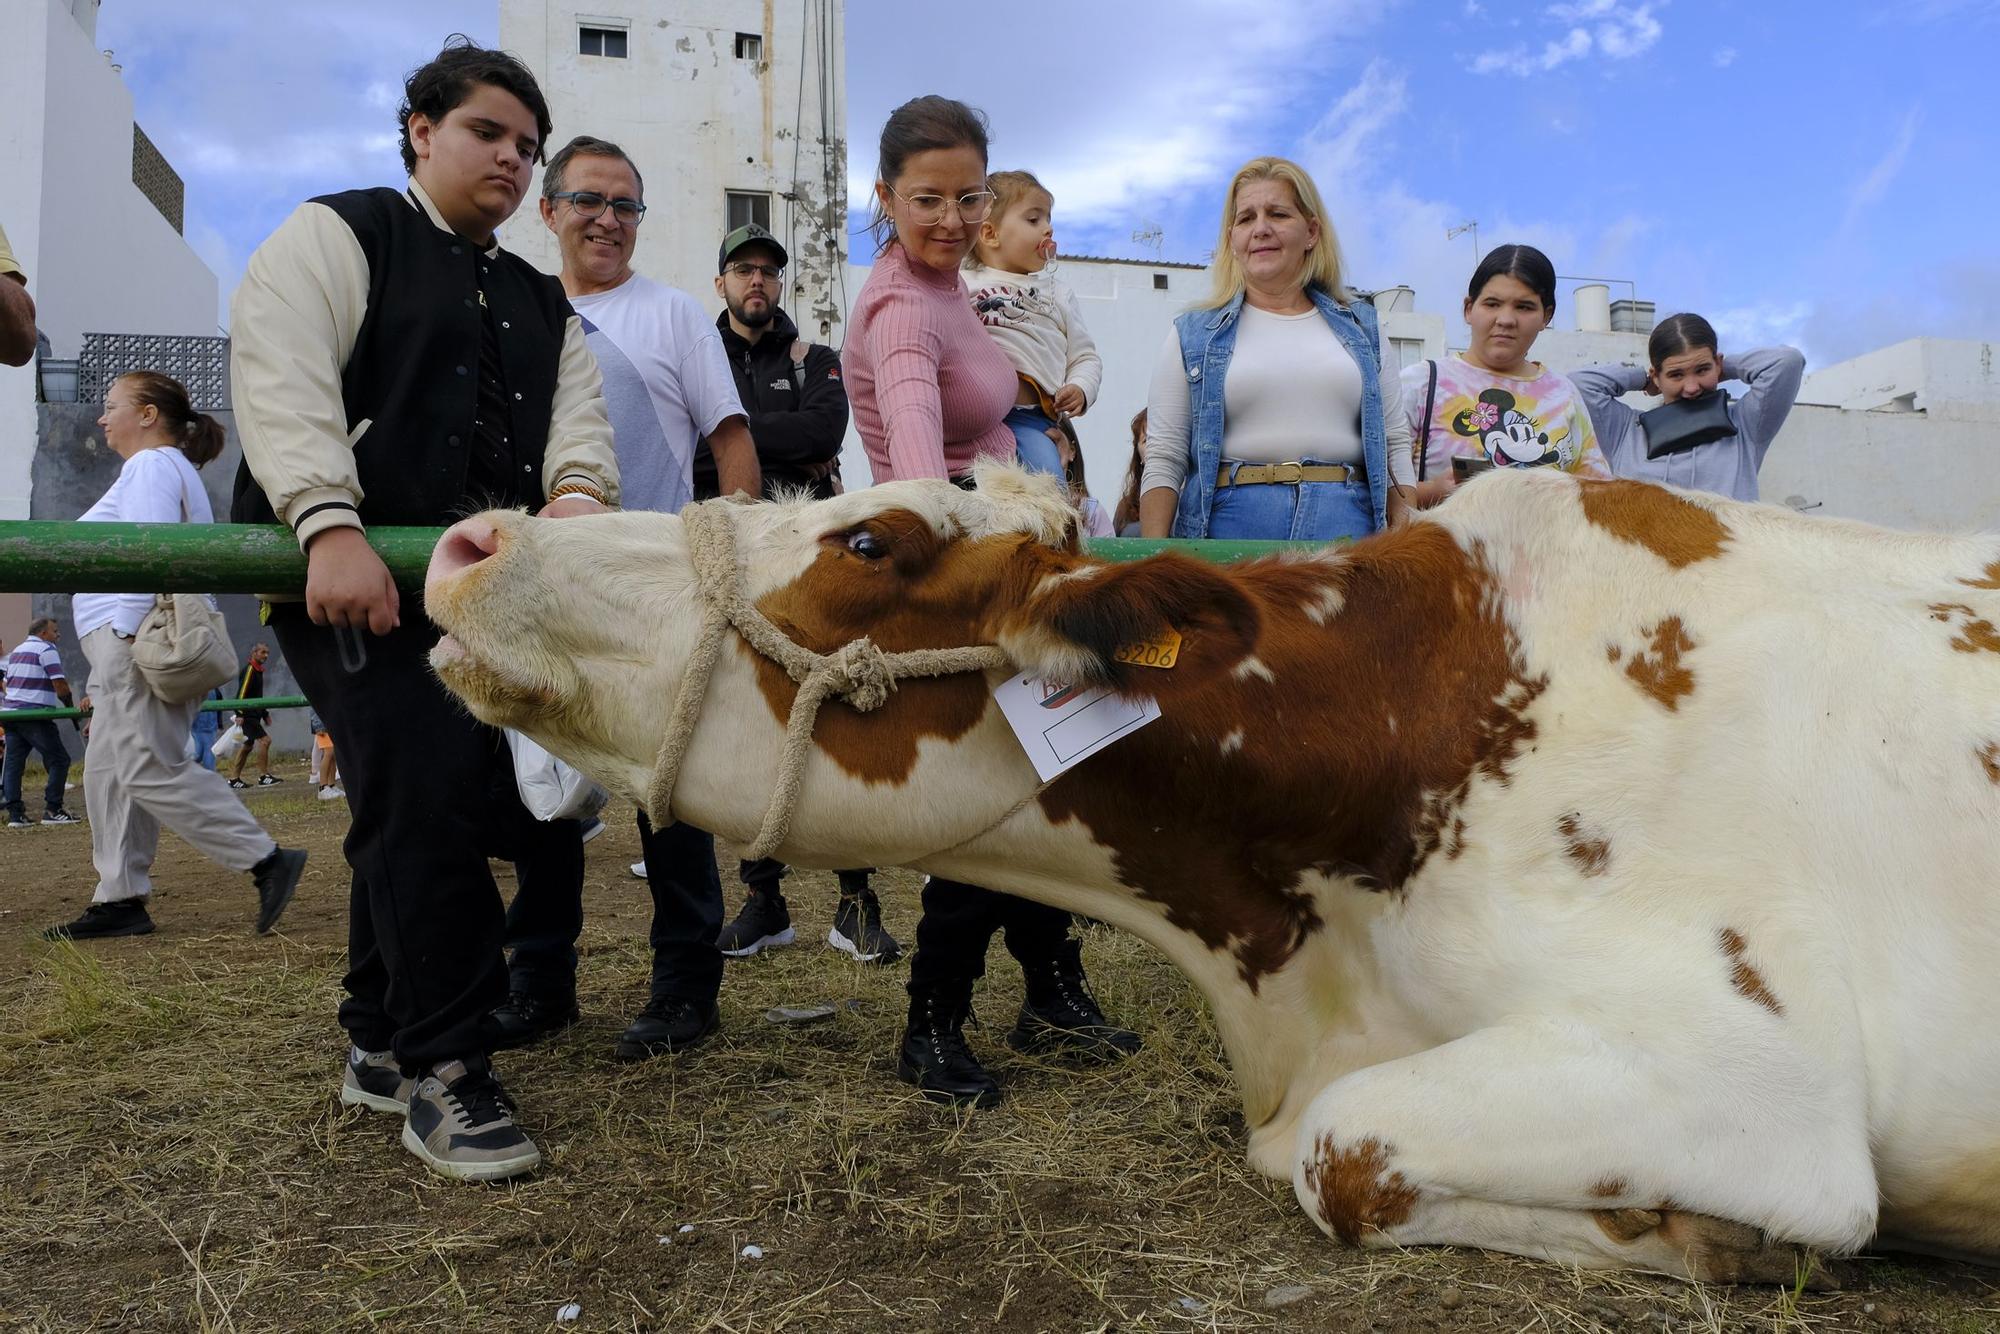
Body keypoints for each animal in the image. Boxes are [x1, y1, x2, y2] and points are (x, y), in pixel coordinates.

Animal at [418, 462, 2000, 1280]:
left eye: (868, 538)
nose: (473, 537)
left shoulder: (1753, 1073)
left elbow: (1336, 1151)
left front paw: (1714, 1235)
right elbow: (1311, 1148)